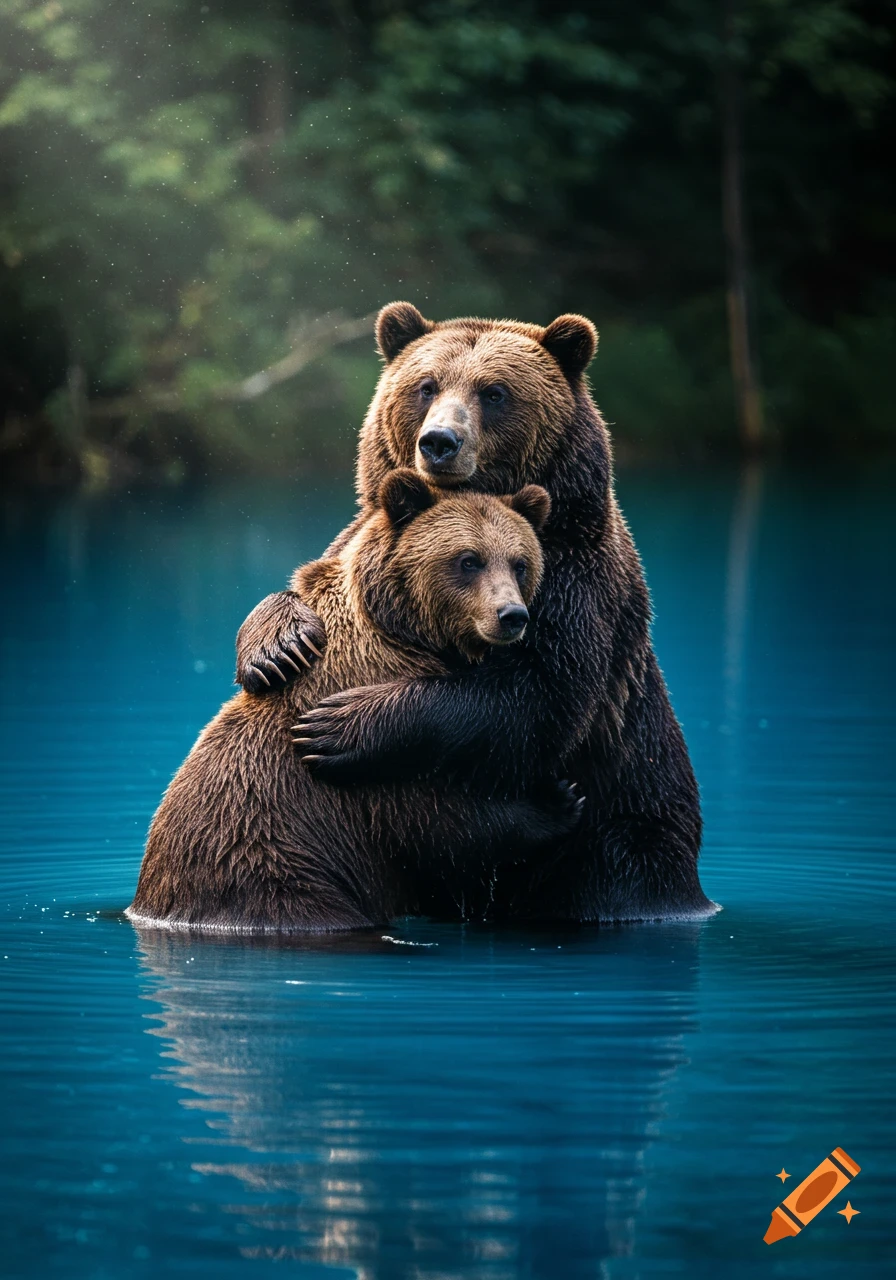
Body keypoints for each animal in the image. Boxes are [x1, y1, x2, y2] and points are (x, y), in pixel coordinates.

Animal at [127, 471, 580, 932]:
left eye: (520, 563)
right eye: (469, 560)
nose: (512, 615)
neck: (405, 632)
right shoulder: (374, 772)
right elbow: (441, 824)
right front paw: (557, 801)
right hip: (280, 886)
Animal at [234, 302, 717, 923]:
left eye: (494, 392)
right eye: (426, 385)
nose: (439, 442)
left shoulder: (574, 586)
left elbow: (537, 699)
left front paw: (340, 726)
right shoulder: (369, 532)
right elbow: (306, 583)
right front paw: (276, 648)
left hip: (623, 825)